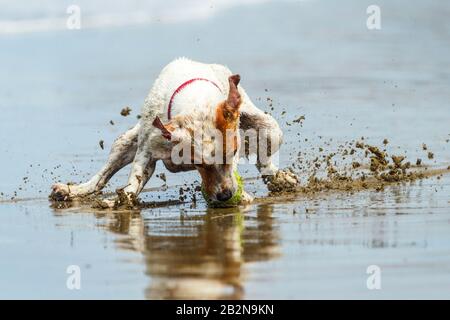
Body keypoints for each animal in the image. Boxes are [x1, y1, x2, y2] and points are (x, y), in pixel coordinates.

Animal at [50, 57, 298, 208]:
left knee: (266, 153)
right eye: (199, 163)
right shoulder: (148, 150)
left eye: (233, 153)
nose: (225, 196)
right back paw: (73, 190)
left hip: (268, 127)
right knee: (101, 177)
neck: (196, 101)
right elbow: (135, 178)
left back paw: (278, 177)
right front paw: (120, 201)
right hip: (125, 142)